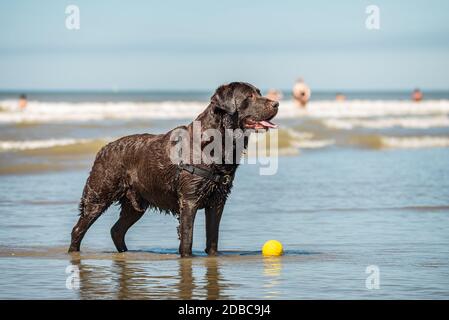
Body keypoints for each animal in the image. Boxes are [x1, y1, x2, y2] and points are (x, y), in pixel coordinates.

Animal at [68, 82, 278, 258]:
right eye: (249, 96)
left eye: (259, 93)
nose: (276, 103)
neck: (216, 142)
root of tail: (103, 149)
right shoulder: (189, 200)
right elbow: (187, 239)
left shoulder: (217, 201)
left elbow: (213, 239)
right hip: (99, 195)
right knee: (79, 229)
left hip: (136, 203)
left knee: (117, 230)